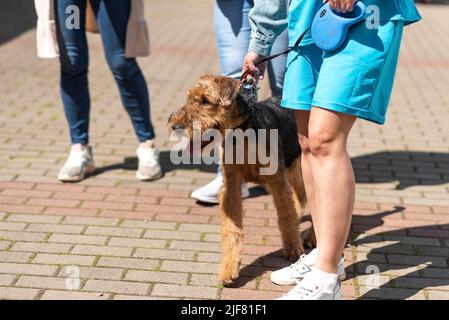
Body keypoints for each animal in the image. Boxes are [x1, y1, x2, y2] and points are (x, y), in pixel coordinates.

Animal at [168, 75, 312, 284]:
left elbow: (286, 216)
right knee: (300, 199)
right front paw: (228, 269)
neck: (242, 132)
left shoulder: (277, 181)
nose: (176, 126)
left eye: (205, 100)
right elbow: (231, 228)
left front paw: (293, 249)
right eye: (190, 98)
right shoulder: (232, 184)